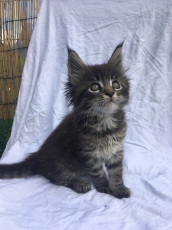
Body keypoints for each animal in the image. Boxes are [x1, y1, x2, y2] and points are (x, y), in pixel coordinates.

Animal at [0, 44, 130, 199]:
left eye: (115, 84)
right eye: (95, 87)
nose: (110, 93)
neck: (105, 121)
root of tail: (37, 156)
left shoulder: (116, 150)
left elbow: (116, 172)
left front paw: (119, 188)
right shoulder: (88, 154)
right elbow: (98, 173)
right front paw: (105, 188)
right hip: (61, 164)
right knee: (56, 178)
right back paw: (79, 183)